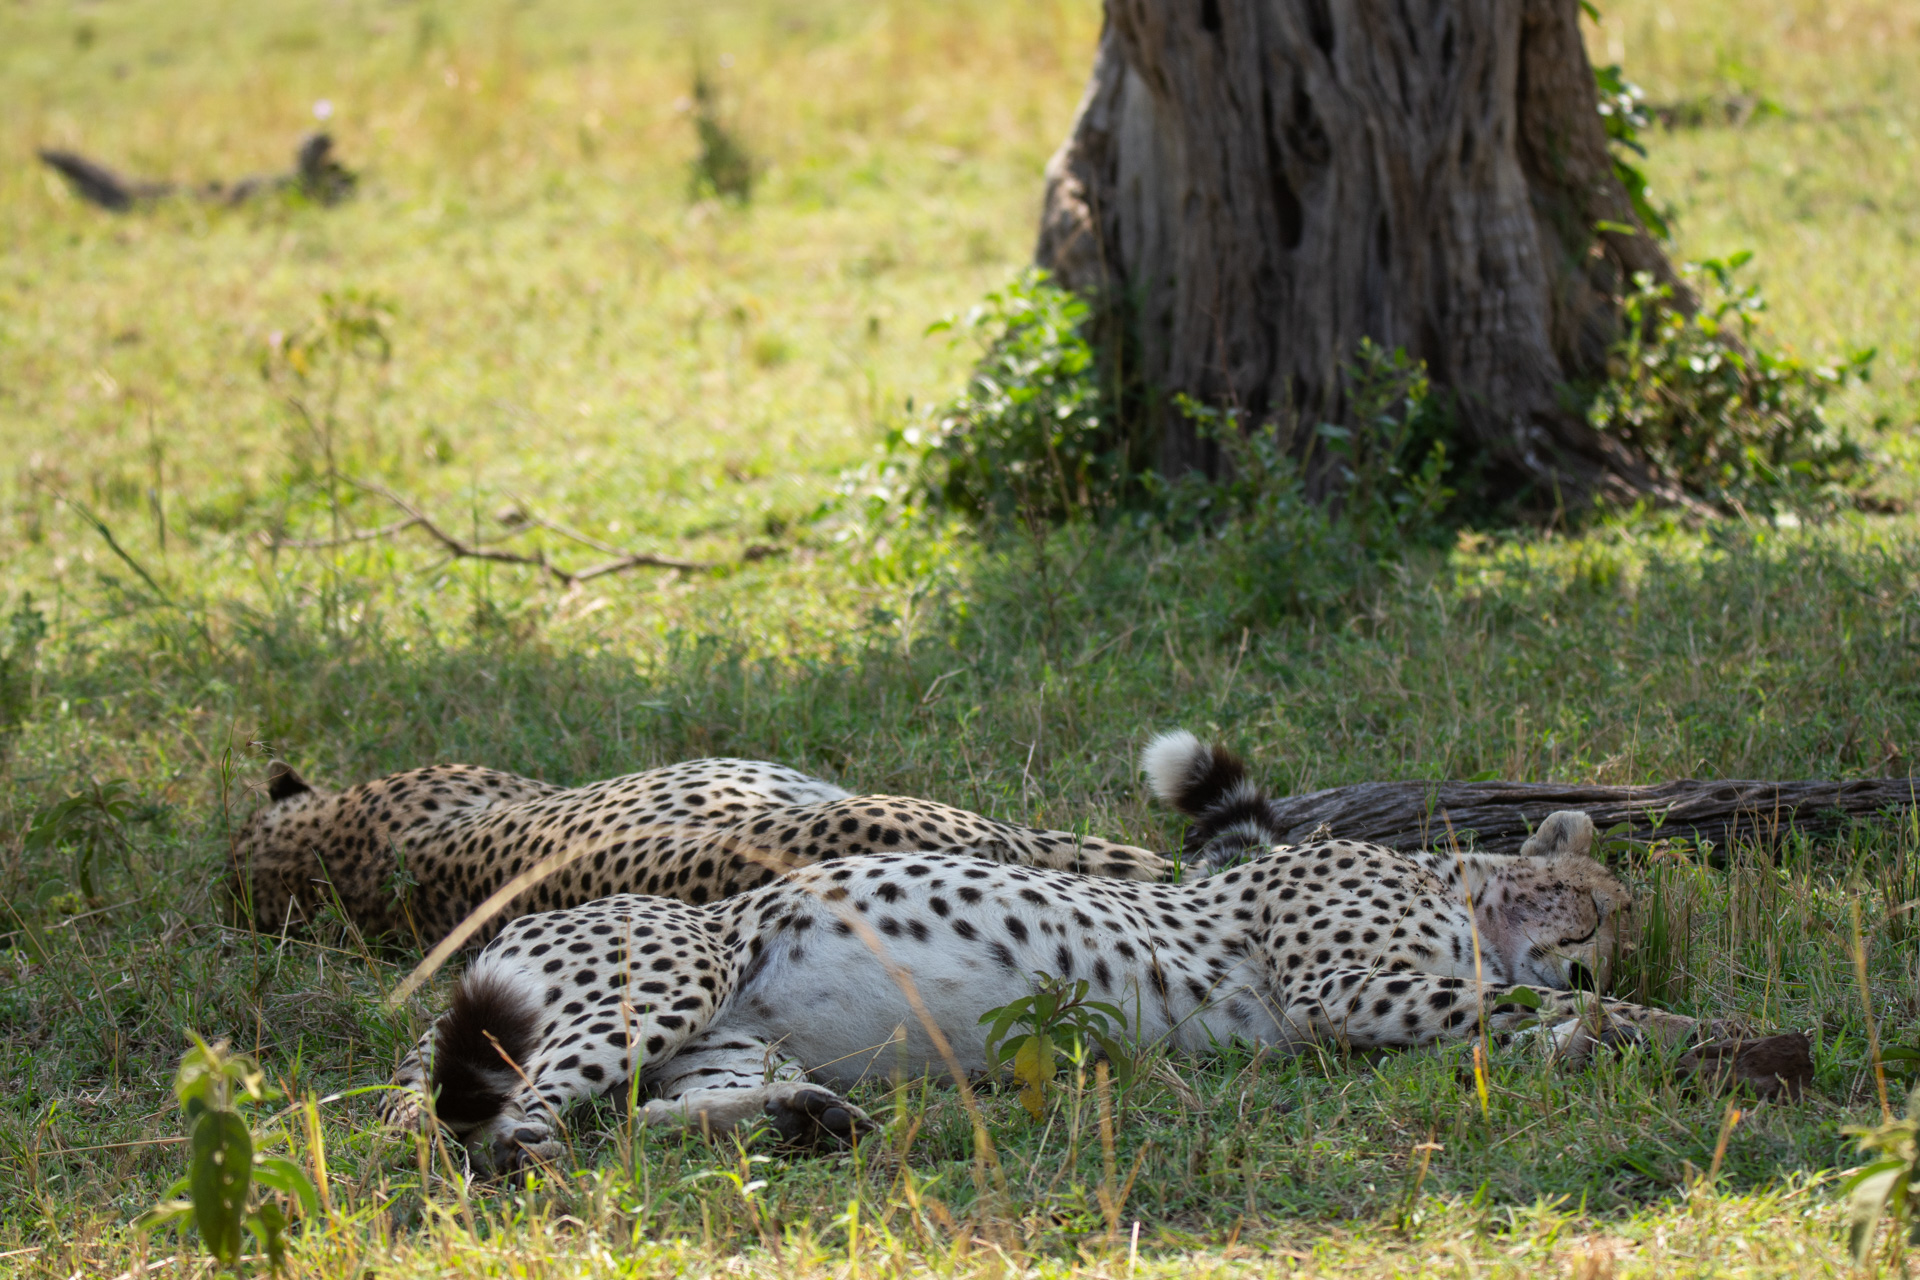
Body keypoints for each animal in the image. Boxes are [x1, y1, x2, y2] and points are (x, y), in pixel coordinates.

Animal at [389, 729, 1797, 1174]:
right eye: (1605, 903)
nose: (1608, 953)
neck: (1456, 885)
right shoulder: (1349, 988)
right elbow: (1545, 1018)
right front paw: (1713, 1036)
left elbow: (1536, 1023)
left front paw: (1668, 1035)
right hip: (662, 971)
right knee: (484, 1121)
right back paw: (533, 1149)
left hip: (723, 1041)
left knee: (640, 1112)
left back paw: (805, 1116)